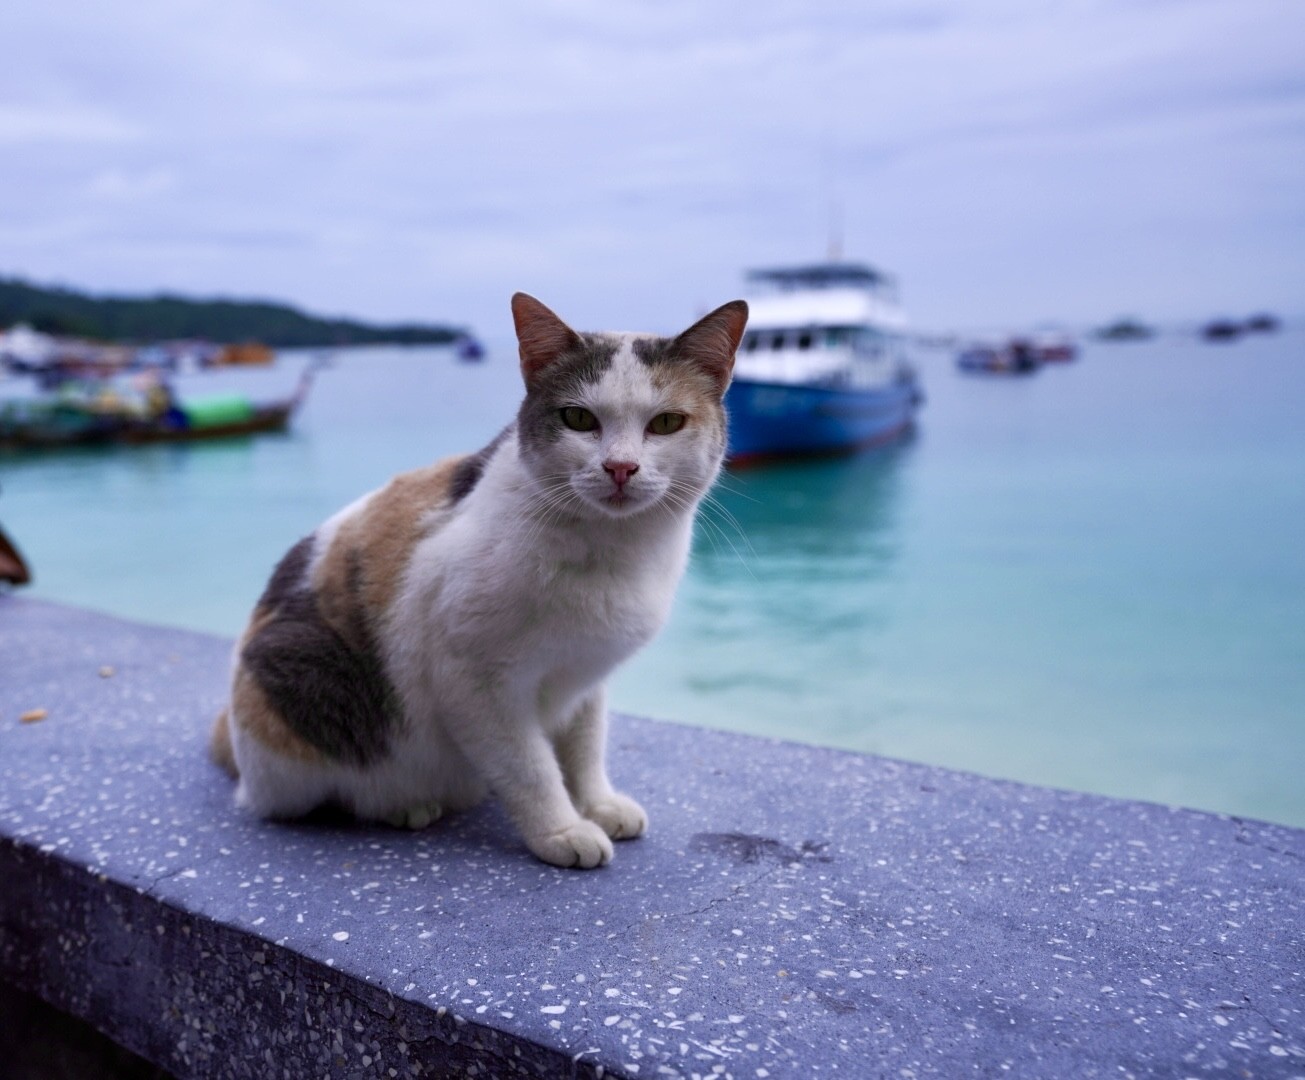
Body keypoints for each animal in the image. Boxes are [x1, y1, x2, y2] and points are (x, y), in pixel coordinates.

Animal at [211, 293, 746, 871]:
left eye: (666, 422)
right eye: (578, 418)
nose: (620, 467)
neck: (614, 551)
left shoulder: (586, 677)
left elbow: (584, 748)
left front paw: (597, 804)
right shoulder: (473, 681)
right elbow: (529, 767)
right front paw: (561, 830)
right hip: (301, 683)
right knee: (328, 794)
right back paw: (402, 805)